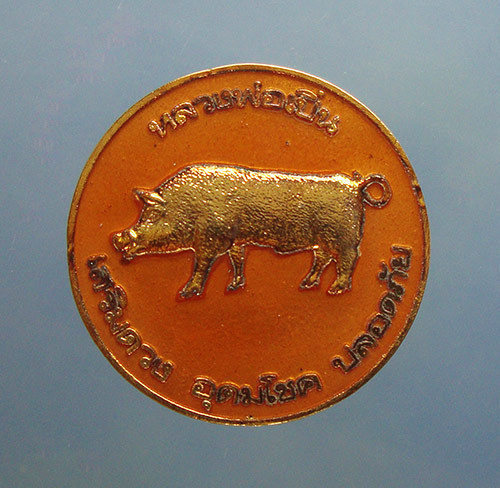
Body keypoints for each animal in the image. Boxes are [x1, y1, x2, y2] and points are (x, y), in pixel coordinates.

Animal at [112, 164, 391, 298]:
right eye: (142, 214)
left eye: (151, 215)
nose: (117, 237)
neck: (190, 206)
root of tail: (356, 185)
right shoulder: (236, 241)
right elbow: (238, 260)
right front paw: (234, 286)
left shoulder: (211, 241)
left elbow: (201, 267)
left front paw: (187, 292)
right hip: (321, 242)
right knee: (321, 260)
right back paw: (306, 284)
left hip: (343, 238)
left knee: (348, 260)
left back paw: (335, 290)